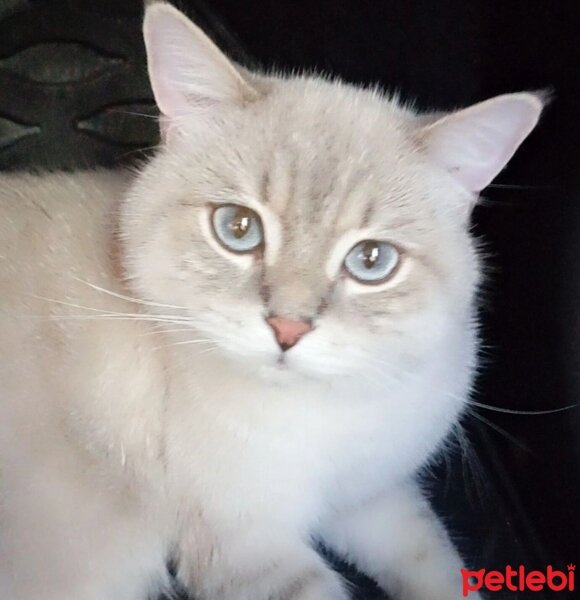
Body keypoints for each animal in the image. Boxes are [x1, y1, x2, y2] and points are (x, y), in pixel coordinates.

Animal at [0, 3, 544, 600]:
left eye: (371, 260)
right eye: (238, 228)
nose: (288, 328)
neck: (322, 417)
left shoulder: (372, 498)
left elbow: (437, 562)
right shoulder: (246, 546)